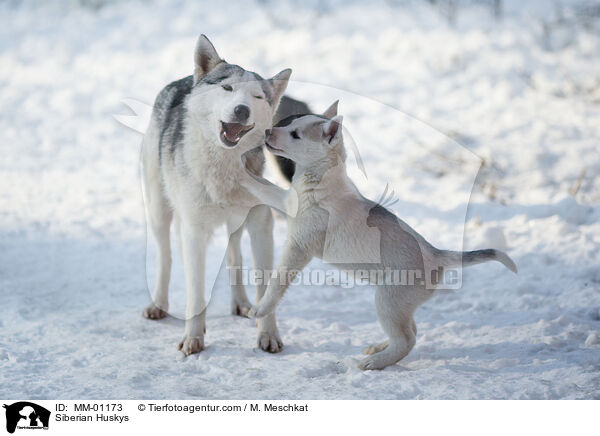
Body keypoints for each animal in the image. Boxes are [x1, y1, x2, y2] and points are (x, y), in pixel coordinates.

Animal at [141, 34, 292, 354]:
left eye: (257, 97)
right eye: (227, 88)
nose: (241, 110)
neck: (224, 169)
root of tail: (186, 79)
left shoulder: (261, 227)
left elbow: (263, 286)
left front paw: (268, 335)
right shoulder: (194, 231)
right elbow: (196, 291)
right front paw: (193, 338)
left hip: (235, 224)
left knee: (235, 256)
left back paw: (241, 304)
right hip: (160, 212)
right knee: (165, 256)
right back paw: (158, 304)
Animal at [239, 103, 516, 372]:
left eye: (296, 134)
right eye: (289, 123)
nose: (267, 132)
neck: (320, 178)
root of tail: (437, 254)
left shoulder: (299, 247)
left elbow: (277, 282)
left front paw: (260, 309)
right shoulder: (284, 201)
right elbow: (260, 186)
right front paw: (239, 165)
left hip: (388, 300)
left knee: (407, 339)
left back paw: (376, 362)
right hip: (396, 305)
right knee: (410, 330)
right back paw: (378, 348)